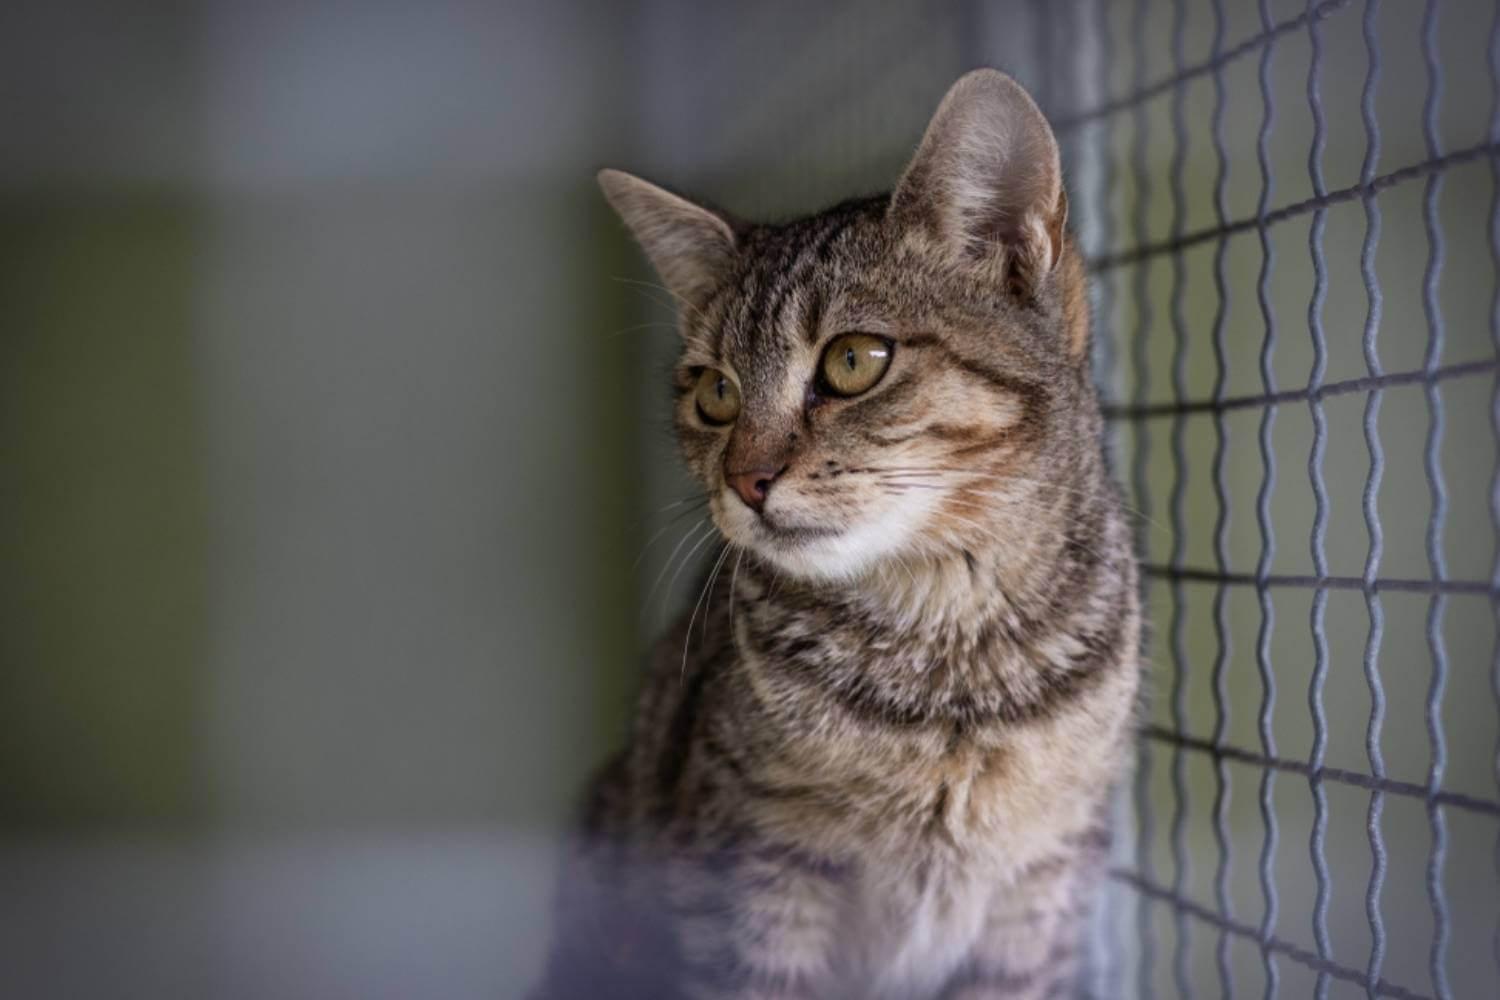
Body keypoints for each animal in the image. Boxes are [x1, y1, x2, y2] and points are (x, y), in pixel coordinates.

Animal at [537, 70, 1134, 1000]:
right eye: (714, 392)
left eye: (854, 361)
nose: (745, 478)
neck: (951, 672)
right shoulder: (751, 875)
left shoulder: (1041, 892)